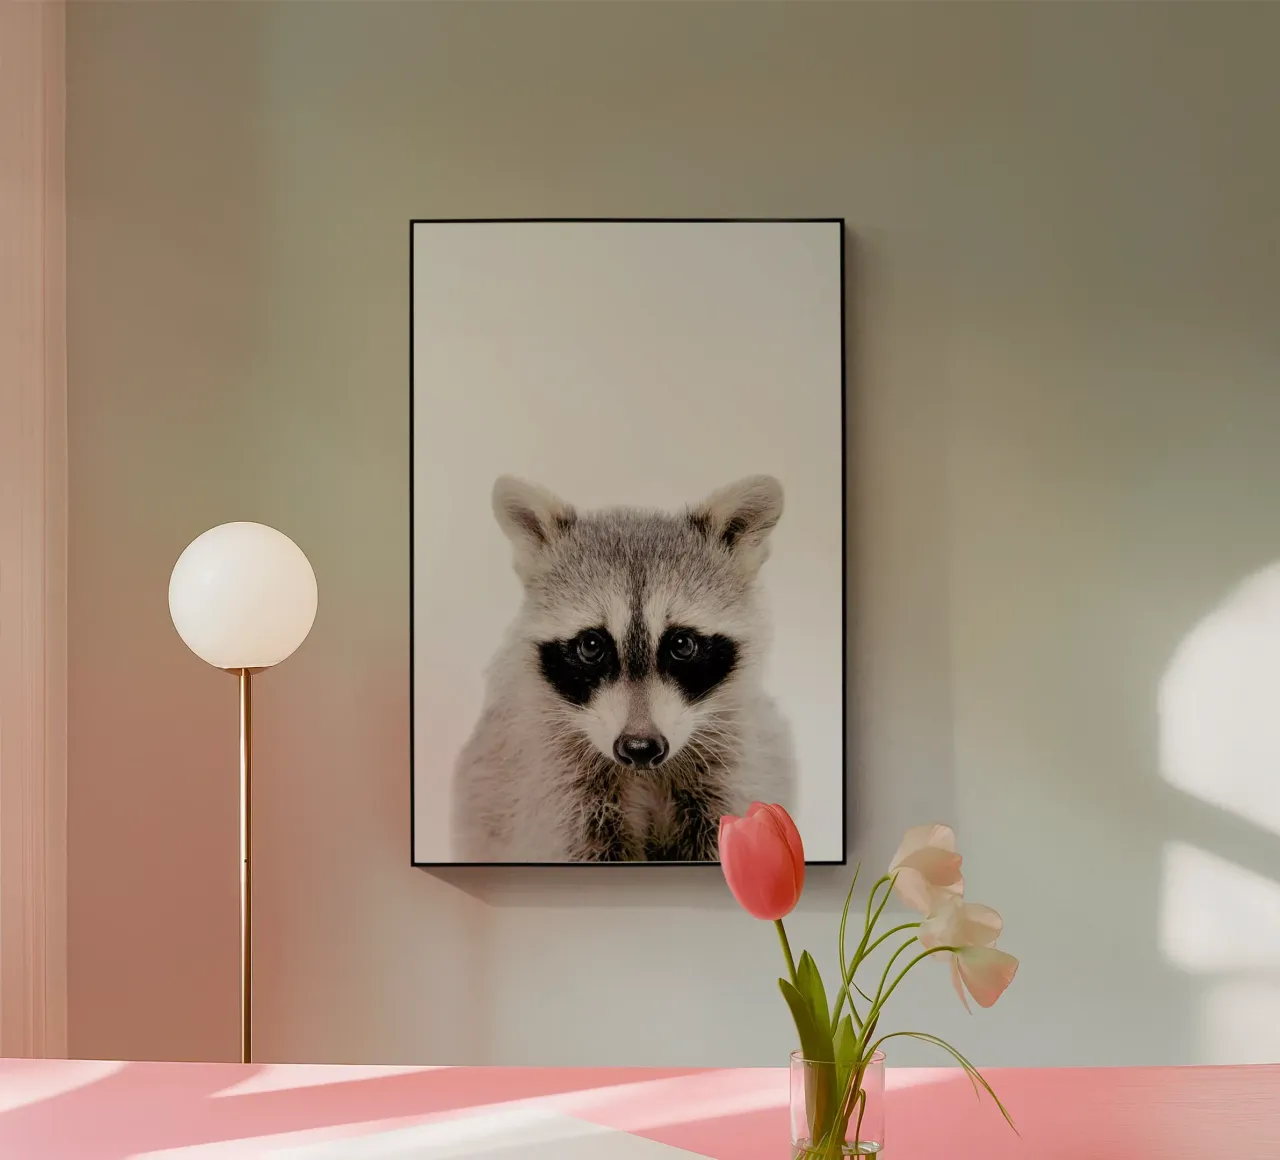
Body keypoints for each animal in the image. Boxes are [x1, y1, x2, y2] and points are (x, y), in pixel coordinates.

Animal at [450, 474, 796, 862]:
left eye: (682, 645)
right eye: (591, 646)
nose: (640, 748)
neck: (646, 774)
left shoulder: (734, 766)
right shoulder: (553, 783)